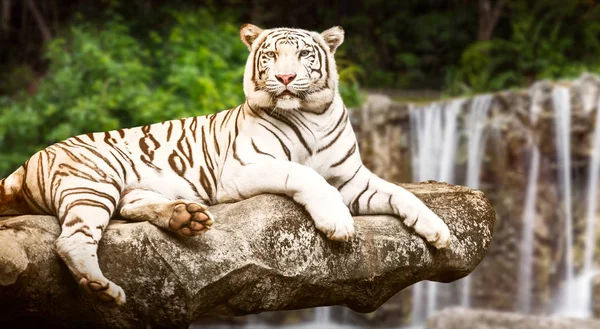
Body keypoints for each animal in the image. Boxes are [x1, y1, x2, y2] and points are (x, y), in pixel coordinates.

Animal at [0, 25, 450, 304]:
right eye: (271, 56)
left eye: (305, 54)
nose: (285, 79)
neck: (313, 114)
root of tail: (31, 157)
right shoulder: (245, 167)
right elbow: (304, 173)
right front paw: (337, 223)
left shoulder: (353, 179)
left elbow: (403, 194)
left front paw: (441, 232)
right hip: (93, 181)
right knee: (71, 240)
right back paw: (103, 288)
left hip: (123, 189)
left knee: (130, 208)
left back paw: (186, 218)